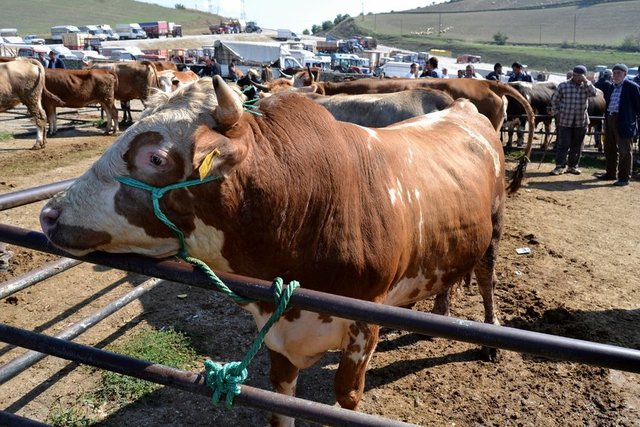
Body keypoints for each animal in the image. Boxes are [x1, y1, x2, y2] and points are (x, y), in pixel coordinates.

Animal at [42, 77, 508, 427]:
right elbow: (282, 400)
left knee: (486, 278)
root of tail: (463, 107)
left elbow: (346, 397)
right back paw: (440, 314)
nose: (48, 214)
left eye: (155, 158)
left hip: (494, 228)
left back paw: (489, 336)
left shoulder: (364, 327)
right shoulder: (277, 334)